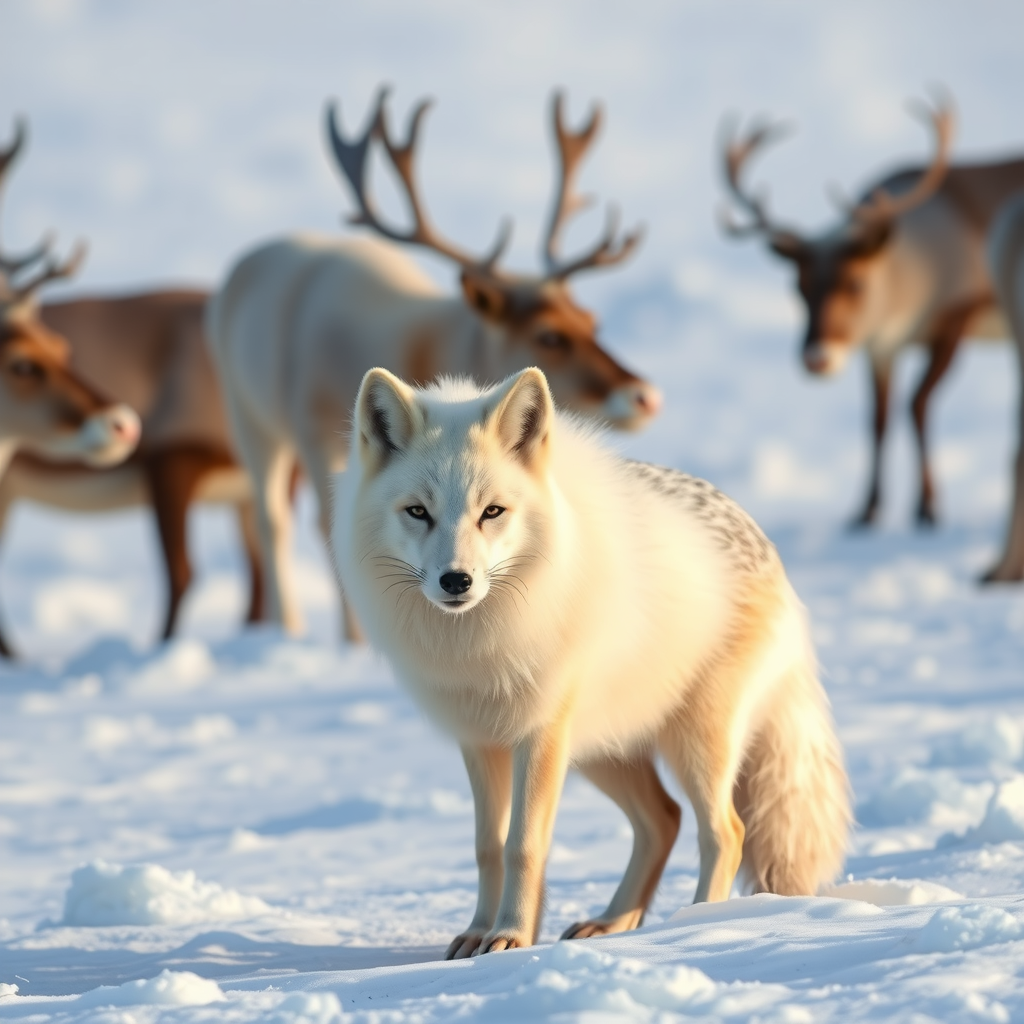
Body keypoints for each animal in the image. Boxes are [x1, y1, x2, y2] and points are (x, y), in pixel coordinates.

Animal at [207, 87, 662, 643]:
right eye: (548, 334)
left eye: (592, 320)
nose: (644, 395)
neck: (424, 345)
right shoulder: (316, 433)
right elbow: (330, 526)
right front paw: (355, 641)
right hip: (251, 420)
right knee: (272, 520)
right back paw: (287, 626)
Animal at [332, 365, 851, 957]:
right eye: (418, 512)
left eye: (492, 512)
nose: (456, 581)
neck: (480, 644)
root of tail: (756, 533)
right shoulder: (480, 741)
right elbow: (488, 847)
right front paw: (482, 933)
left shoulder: (539, 735)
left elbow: (524, 845)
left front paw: (511, 936)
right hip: (601, 751)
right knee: (664, 820)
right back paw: (614, 922)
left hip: (694, 744)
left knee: (725, 831)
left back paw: (696, 924)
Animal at [720, 95, 1024, 531]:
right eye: (798, 287)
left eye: (856, 283)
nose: (818, 359)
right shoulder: (881, 347)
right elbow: (877, 419)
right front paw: (867, 510)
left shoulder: (957, 315)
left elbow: (916, 405)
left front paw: (927, 507)